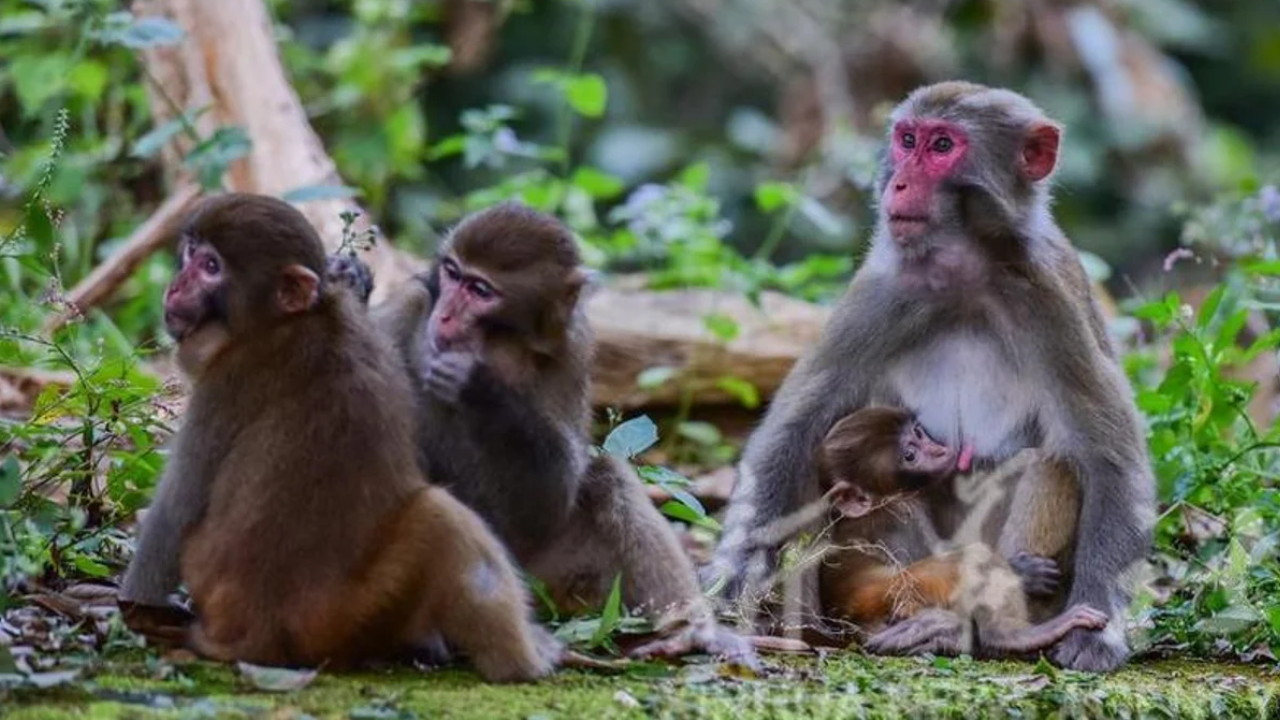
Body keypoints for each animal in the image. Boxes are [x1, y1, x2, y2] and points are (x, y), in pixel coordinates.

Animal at [117, 193, 558, 680]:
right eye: (191, 253)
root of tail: (257, 637)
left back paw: (521, 664)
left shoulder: (226, 380)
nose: (176, 287)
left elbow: (174, 515)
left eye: (211, 266)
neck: (294, 320)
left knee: (441, 515)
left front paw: (135, 608)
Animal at [324, 203, 757, 666]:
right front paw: (350, 279)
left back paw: (689, 632)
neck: (501, 341)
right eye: (452, 273)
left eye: (480, 290)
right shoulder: (414, 300)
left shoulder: (573, 346)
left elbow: (551, 500)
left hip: (551, 582)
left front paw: (480, 385)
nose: (445, 315)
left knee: (607, 477)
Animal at [812, 407, 1107, 659]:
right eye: (910, 455)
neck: (877, 506)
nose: (939, 451)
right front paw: (1024, 572)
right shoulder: (902, 514)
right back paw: (1010, 636)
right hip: (902, 594)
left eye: (918, 433)